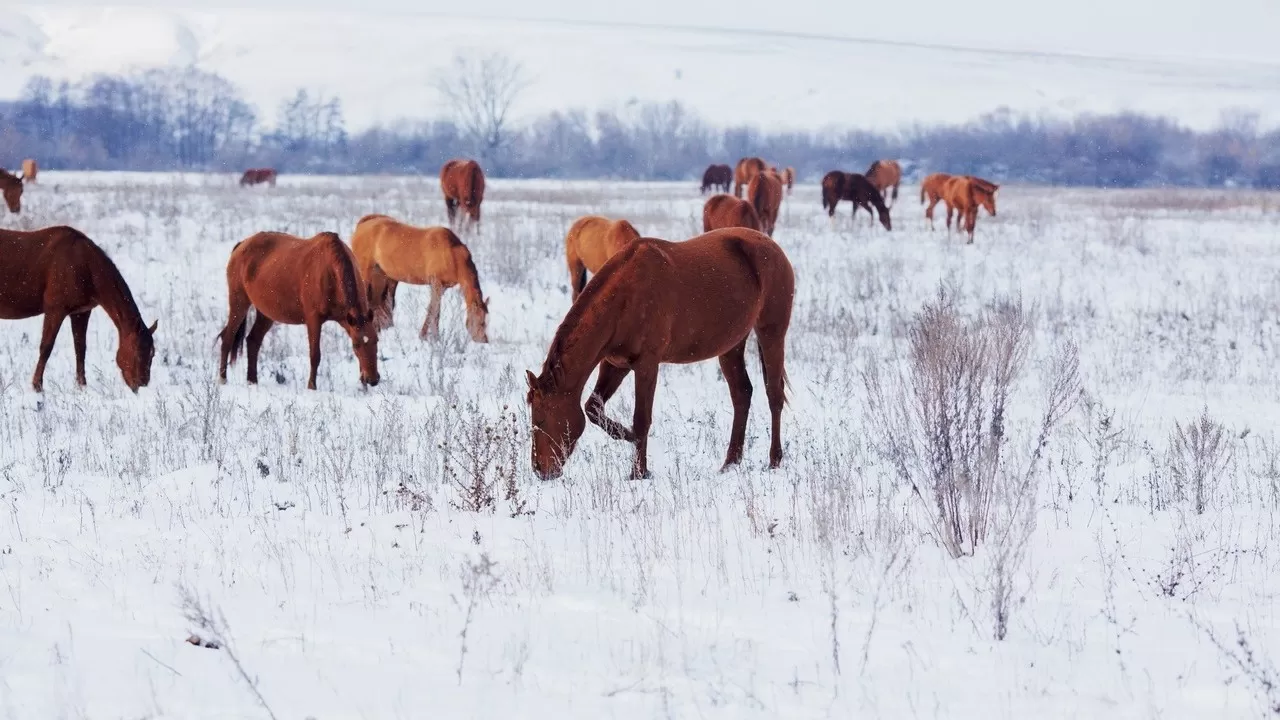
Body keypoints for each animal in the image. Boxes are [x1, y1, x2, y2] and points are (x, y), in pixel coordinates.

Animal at [0, 225, 157, 389]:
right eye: (137, 350)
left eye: (152, 353)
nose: (141, 383)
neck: (85, 266)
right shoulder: (55, 310)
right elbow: (46, 347)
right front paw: (37, 386)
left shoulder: (81, 312)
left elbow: (80, 348)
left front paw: (82, 386)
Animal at [218, 230, 378, 389]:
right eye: (356, 345)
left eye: (376, 341)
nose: (373, 380)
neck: (330, 272)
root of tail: (241, 245)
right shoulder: (313, 319)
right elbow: (315, 355)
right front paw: (312, 387)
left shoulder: (347, 320)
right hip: (239, 303)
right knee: (227, 339)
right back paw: (222, 379)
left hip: (266, 313)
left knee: (253, 340)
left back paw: (252, 381)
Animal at [350, 212, 488, 340]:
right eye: (480, 322)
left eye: (486, 321)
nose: (483, 340)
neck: (451, 252)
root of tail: (362, 225)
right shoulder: (436, 284)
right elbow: (435, 310)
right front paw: (433, 337)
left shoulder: (442, 287)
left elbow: (432, 309)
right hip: (365, 273)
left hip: (380, 275)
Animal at [527, 226, 793, 479]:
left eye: (540, 420)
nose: (540, 470)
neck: (625, 297)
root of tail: (773, 248)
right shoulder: (616, 364)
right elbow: (593, 408)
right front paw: (625, 435)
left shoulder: (647, 364)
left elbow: (642, 419)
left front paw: (638, 472)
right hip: (731, 347)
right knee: (741, 394)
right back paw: (730, 463)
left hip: (771, 334)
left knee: (774, 395)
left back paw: (774, 461)